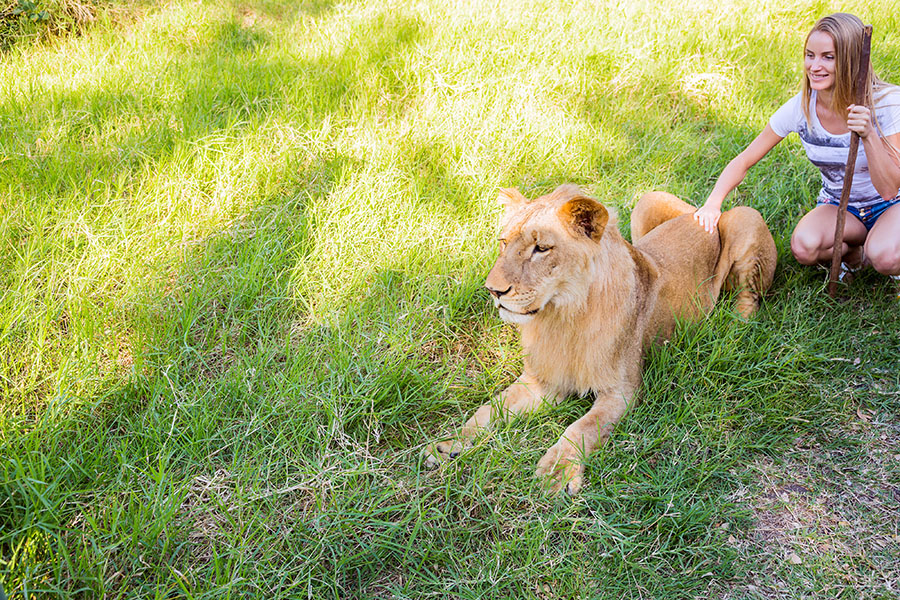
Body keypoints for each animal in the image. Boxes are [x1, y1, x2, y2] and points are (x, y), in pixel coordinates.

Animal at [426, 185, 776, 494]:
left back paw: (733, 329)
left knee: (749, 297)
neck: (561, 317)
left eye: (541, 249)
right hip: (646, 204)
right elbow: (489, 409)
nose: (493, 291)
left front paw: (556, 472)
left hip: (745, 220)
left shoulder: (622, 391)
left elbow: (582, 427)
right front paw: (449, 444)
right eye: (503, 243)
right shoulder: (542, 381)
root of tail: (704, 215)